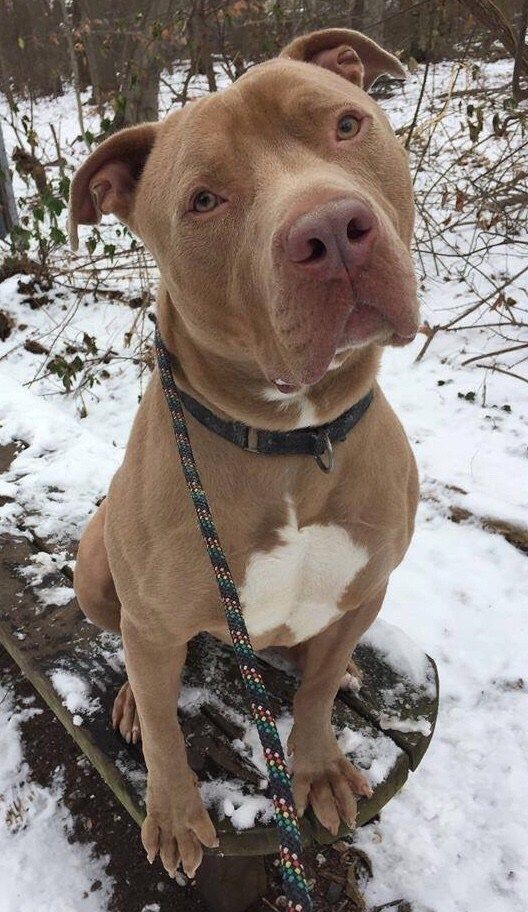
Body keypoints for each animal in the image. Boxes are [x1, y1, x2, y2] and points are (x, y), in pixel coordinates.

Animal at [69, 30, 416, 884]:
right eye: (203, 201)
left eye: (347, 126)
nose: (332, 230)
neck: (294, 439)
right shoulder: (154, 620)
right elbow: (167, 732)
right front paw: (173, 816)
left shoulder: (368, 585)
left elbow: (317, 695)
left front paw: (319, 767)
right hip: (97, 568)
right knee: (130, 653)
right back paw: (127, 699)